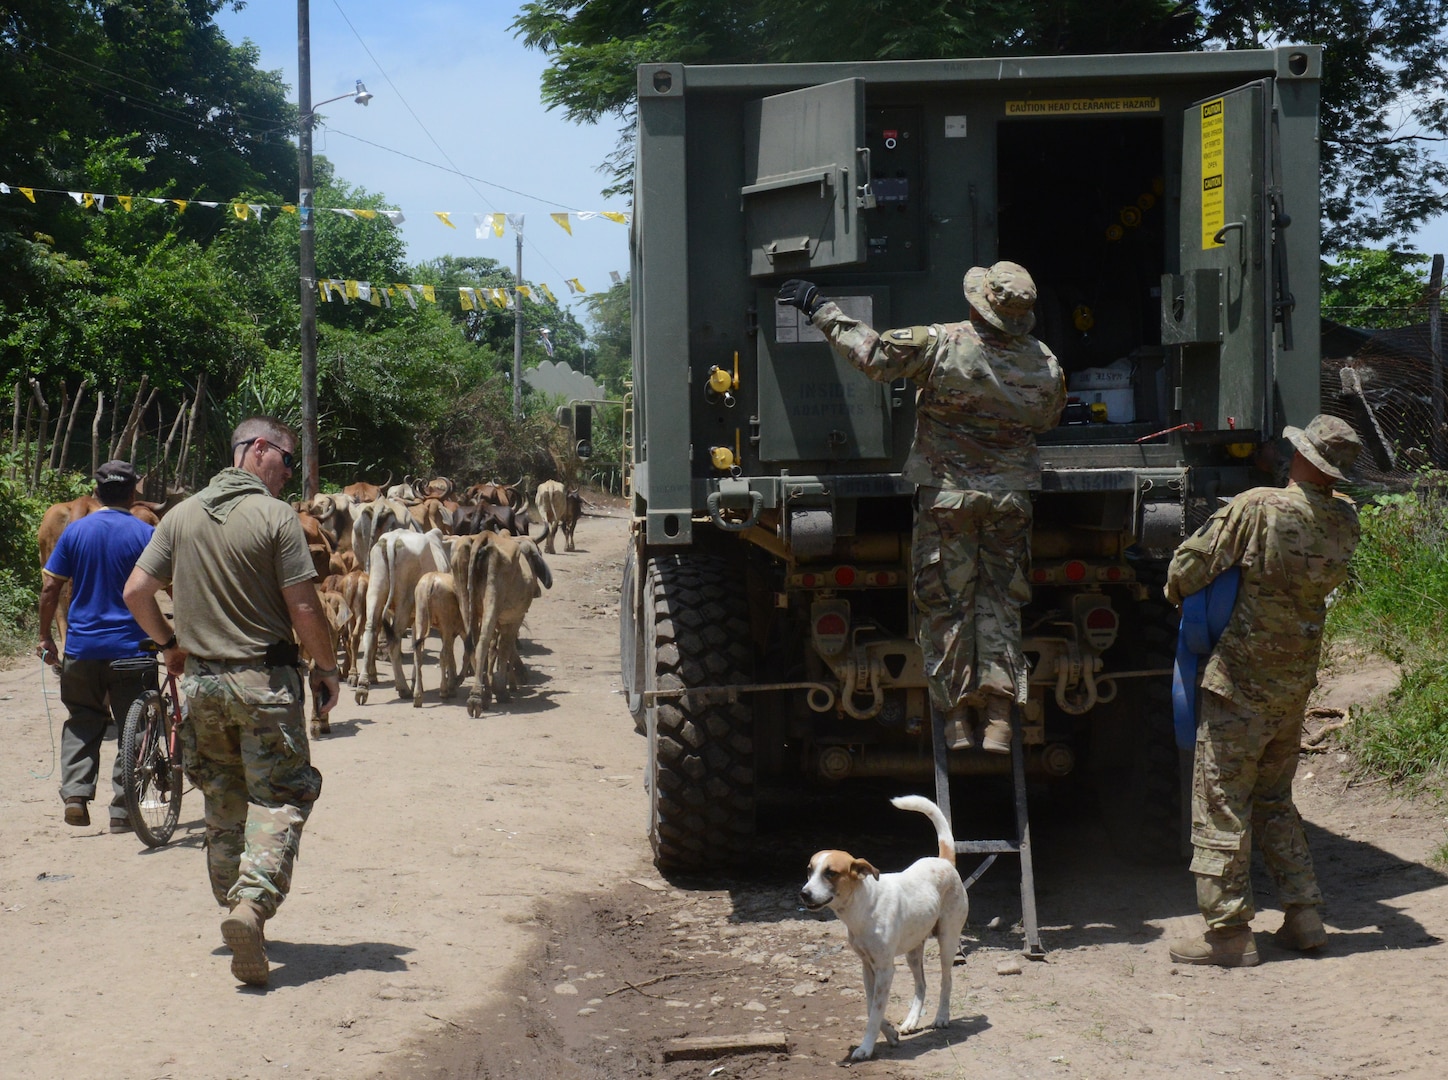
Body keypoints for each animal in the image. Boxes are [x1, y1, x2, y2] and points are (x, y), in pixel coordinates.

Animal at [799, 793, 967, 1059]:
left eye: (830, 873)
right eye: (809, 870)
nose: (804, 894)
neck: (862, 908)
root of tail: (944, 861)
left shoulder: (885, 969)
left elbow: (875, 1010)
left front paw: (866, 1047)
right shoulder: (867, 966)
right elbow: (871, 1006)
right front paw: (890, 1033)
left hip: (947, 941)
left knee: (946, 980)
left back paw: (942, 1017)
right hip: (913, 951)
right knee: (921, 984)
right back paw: (911, 1021)